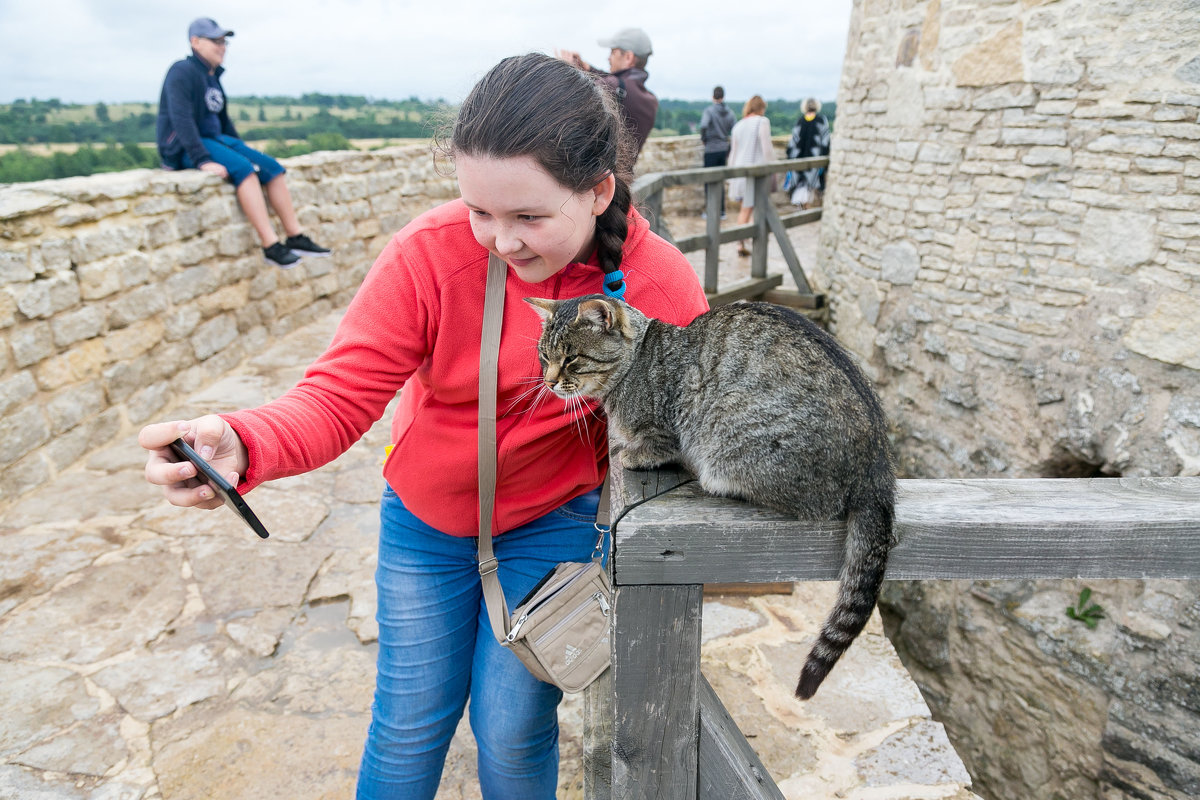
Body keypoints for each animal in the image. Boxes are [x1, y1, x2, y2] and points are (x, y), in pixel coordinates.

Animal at [530, 296, 897, 700]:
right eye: (544, 356)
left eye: (571, 358)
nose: (549, 382)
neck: (636, 363)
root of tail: (878, 463)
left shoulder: (665, 427)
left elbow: (654, 445)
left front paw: (631, 453)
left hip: (732, 438)